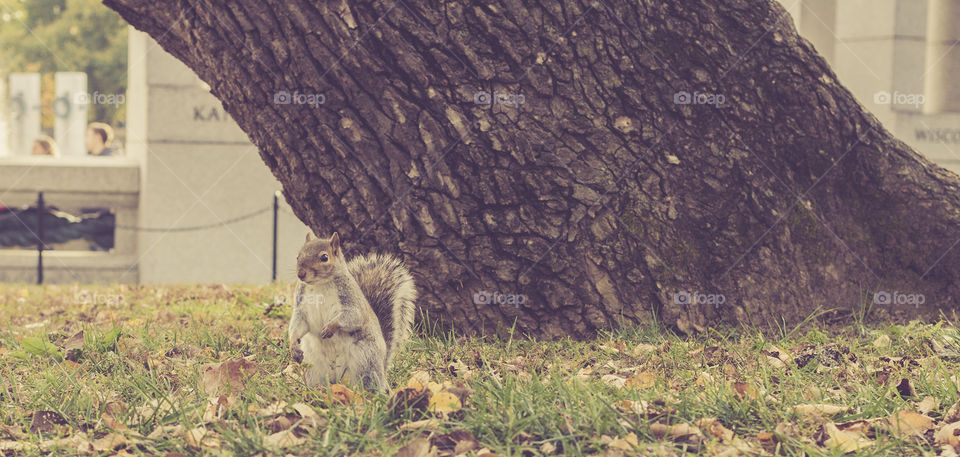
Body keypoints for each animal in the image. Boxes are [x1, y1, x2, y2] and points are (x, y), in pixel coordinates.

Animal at [288, 231, 416, 392]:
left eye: (324, 257)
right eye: (298, 256)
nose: (301, 274)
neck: (318, 285)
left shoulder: (351, 300)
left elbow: (354, 317)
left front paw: (330, 327)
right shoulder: (301, 308)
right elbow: (298, 325)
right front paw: (293, 345)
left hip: (365, 361)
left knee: (369, 382)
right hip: (313, 364)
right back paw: (316, 389)